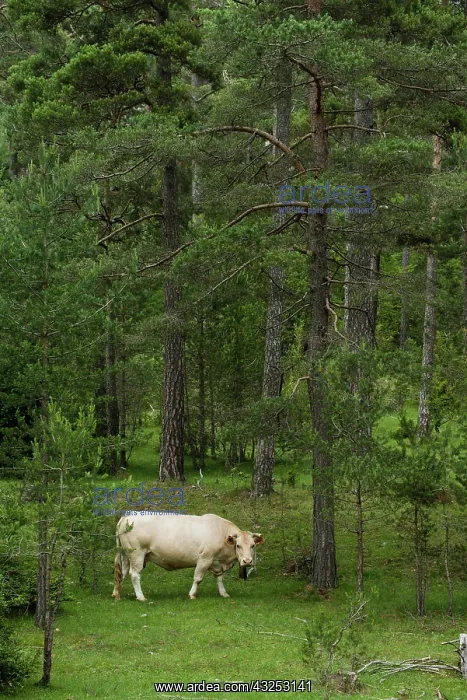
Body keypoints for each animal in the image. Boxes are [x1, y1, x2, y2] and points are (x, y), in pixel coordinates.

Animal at [111, 513, 264, 601]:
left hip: (125, 555)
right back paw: (141, 597)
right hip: (137, 554)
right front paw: (192, 594)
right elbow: (198, 578)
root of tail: (127, 516)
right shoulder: (205, 558)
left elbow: (219, 578)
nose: (247, 561)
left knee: (121, 573)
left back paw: (116, 594)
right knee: (134, 575)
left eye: (252, 546)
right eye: (238, 545)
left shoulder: (217, 563)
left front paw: (223, 593)